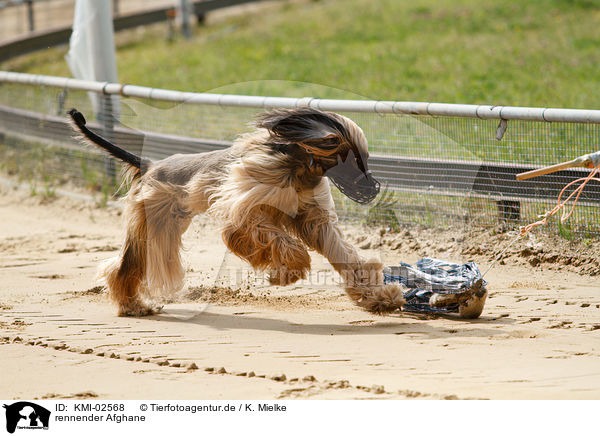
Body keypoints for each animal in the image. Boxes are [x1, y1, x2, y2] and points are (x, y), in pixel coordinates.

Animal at [69, 107, 408, 316]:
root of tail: (151, 164)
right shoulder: (246, 211)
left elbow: (346, 257)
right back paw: (132, 306)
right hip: (153, 222)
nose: (375, 188)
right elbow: (277, 242)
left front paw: (380, 298)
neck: (299, 168)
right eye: (356, 160)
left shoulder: (313, 219)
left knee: (126, 264)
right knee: (126, 265)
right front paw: (285, 272)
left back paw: (132, 304)